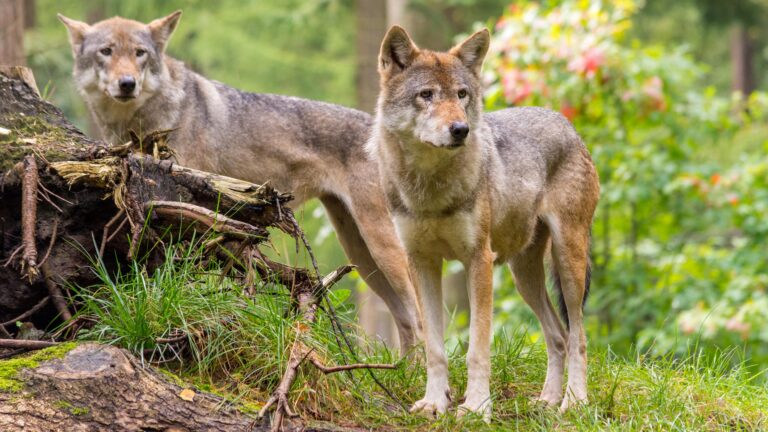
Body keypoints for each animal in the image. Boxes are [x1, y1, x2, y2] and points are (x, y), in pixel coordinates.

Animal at [57, 11, 421, 353]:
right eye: (106, 51)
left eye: (139, 52)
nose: (127, 83)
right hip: (361, 253)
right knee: (405, 319)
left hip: (381, 245)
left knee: (418, 314)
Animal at [368, 26, 600, 419]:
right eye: (426, 95)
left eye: (462, 94)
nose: (460, 129)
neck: (430, 190)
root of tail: (568, 125)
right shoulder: (421, 263)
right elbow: (434, 348)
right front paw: (434, 402)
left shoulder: (478, 261)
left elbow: (477, 349)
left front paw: (476, 407)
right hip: (524, 277)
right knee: (557, 336)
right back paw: (548, 400)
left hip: (568, 263)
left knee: (578, 336)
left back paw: (574, 402)